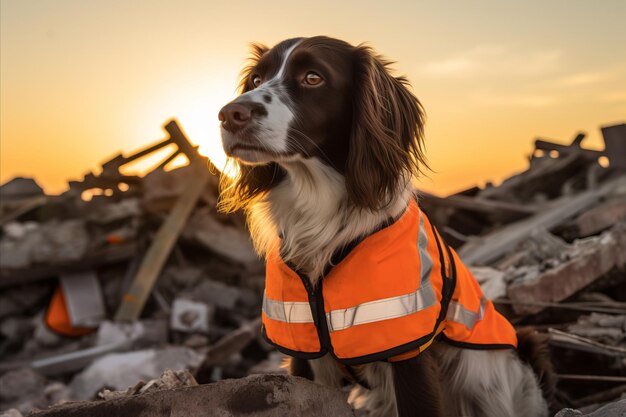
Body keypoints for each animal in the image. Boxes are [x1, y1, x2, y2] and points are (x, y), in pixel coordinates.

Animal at [217, 35, 552, 416]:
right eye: (256, 80)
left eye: (313, 77)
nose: (228, 115)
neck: (322, 217)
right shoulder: (303, 350)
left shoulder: (409, 349)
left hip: (483, 374)